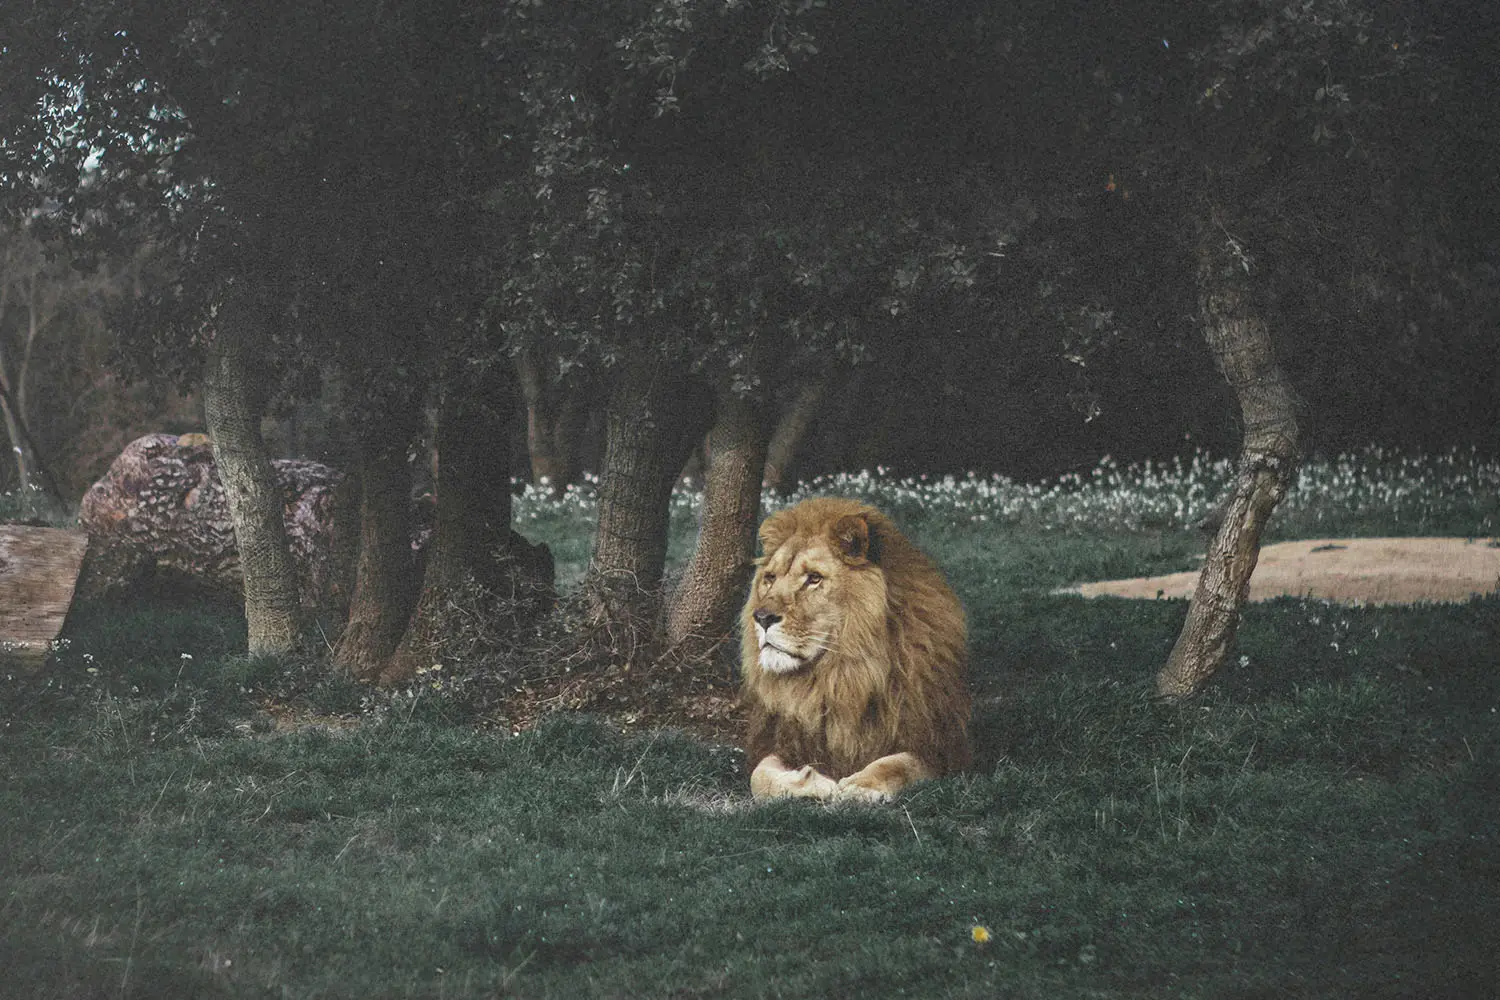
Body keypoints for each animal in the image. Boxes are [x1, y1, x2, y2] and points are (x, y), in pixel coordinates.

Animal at [741, 496, 971, 801]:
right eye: (770, 578)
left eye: (814, 578)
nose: (762, 617)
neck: (837, 677)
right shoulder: (780, 740)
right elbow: (759, 776)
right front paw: (811, 781)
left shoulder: (939, 747)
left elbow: (898, 764)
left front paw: (862, 785)